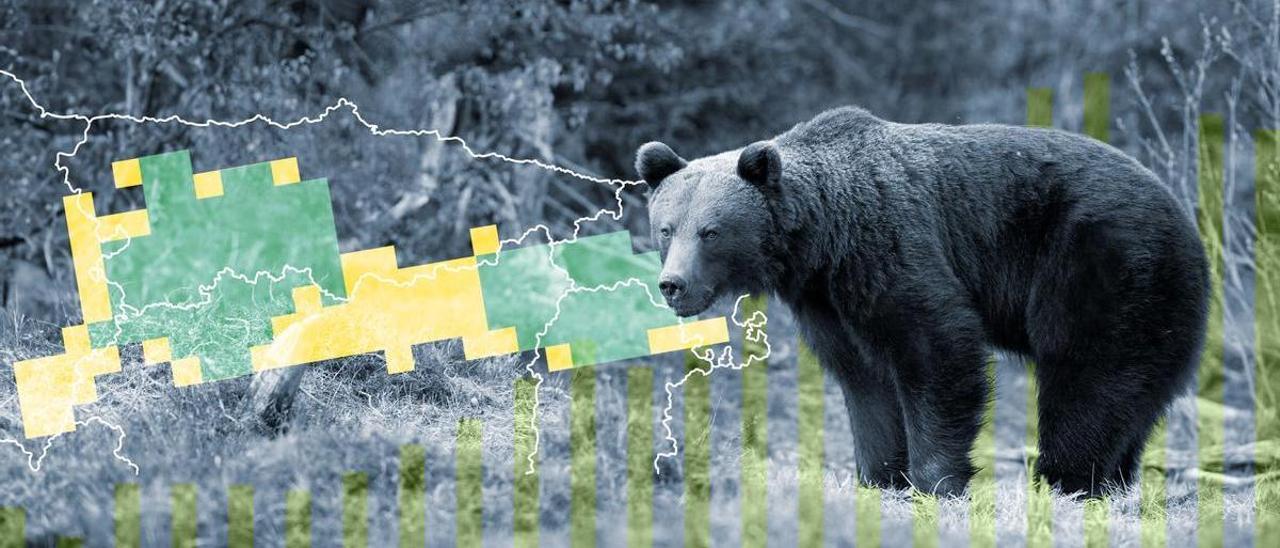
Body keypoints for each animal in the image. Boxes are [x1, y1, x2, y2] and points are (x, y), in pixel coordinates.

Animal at [637, 106, 1208, 498]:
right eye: (666, 228)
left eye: (711, 232)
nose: (673, 284)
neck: (822, 240)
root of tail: (1185, 218)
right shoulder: (829, 301)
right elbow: (864, 381)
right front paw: (879, 476)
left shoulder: (890, 246)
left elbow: (937, 348)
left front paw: (935, 481)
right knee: (1135, 393)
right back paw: (1113, 481)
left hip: (1103, 264)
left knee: (1087, 376)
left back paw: (1063, 479)